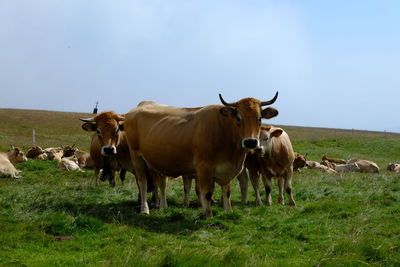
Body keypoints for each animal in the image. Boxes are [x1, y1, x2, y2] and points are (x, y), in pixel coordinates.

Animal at [124, 92, 278, 218]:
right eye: (238, 118)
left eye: (259, 119)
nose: (250, 142)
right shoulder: (204, 168)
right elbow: (207, 193)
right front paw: (208, 215)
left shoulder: (226, 168)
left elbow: (226, 191)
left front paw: (228, 211)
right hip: (136, 156)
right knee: (142, 183)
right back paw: (145, 209)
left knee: (161, 184)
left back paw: (163, 207)